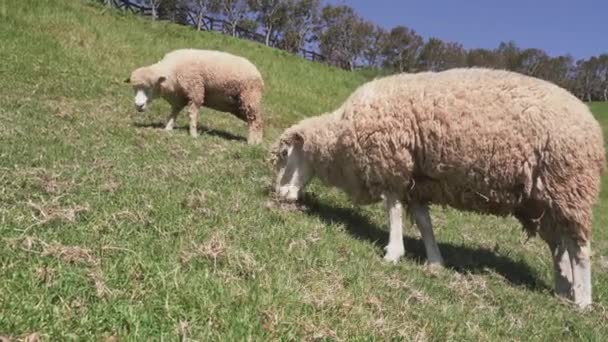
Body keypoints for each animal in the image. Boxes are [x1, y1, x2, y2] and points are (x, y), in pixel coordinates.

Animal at [125, 48, 264, 144]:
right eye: (134, 88)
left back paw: (252, 143)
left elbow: (192, 114)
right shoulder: (179, 97)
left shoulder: (195, 91)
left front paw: (193, 134)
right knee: (256, 120)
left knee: (256, 120)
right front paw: (168, 128)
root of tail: (258, 74)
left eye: (150, 87)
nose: (138, 105)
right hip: (239, 106)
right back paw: (257, 140)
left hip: (250, 97)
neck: (172, 71)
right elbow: (174, 112)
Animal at [274, 68, 604, 308]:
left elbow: (393, 210)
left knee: (580, 248)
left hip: (570, 187)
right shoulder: (416, 183)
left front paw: (393, 253)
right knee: (560, 248)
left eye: (286, 156)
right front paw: (435, 262)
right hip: (542, 202)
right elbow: (424, 222)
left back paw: (583, 302)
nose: (279, 195)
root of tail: (592, 124)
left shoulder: (392, 166)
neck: (341, 140)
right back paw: (563, 291)